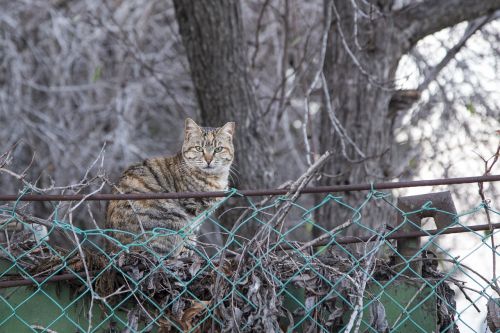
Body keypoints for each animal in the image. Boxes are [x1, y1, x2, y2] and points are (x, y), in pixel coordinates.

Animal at [105, 118, 234, 255]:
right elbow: (189, 234)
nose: (208, 160)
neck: (215, 179)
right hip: (172, 219)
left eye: (218, 149)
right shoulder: (190, 208)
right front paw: (187, 249)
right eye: (198, 148)